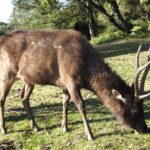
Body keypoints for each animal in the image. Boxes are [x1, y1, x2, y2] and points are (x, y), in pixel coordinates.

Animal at [0, 29, 150, 141]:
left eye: (142, 108)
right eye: (133, 110)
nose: (144, 128)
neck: (87, 74)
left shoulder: (64, 84)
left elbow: (65, 102)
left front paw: (64, 127)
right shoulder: (70, 80)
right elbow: (81, 105)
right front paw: (90, 135)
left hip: (28, 80)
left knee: (23, 97)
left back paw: (35, 126)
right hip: (7, 73)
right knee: (2, 100)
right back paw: (4, 129)